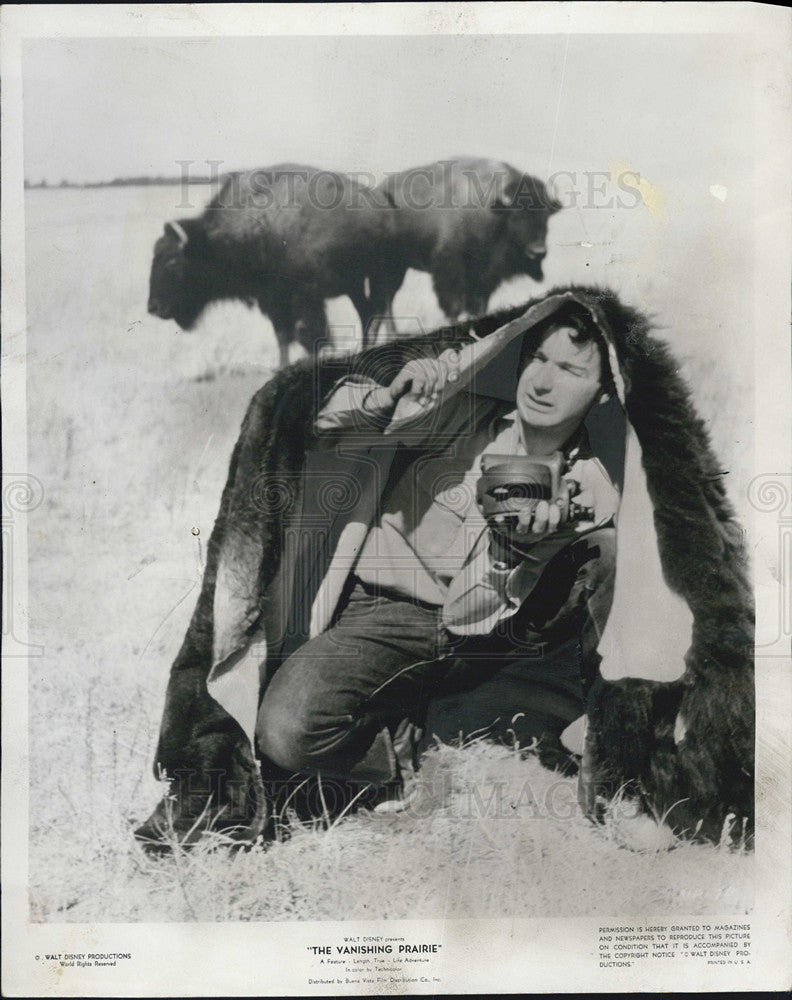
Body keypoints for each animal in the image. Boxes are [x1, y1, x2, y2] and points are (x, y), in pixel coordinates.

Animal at [146, 164, 392, 368]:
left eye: (173, 262)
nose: (153, 307)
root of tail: (382, 204)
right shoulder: (273, 300)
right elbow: (284, 336)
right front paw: (282, 368)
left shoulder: (303, 297)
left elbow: (307, 334)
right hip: (356, 285)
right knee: (368, 312)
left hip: (374, 278)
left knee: (373, 312)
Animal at [368, 156, 560, 336]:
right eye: (516, 217)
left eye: (546, 218)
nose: (538, 252)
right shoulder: (451, 269)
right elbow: (454, 305)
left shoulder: (485, 278)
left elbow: (479, 305)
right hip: (390, 268)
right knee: (386, 302)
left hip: (399, 268)